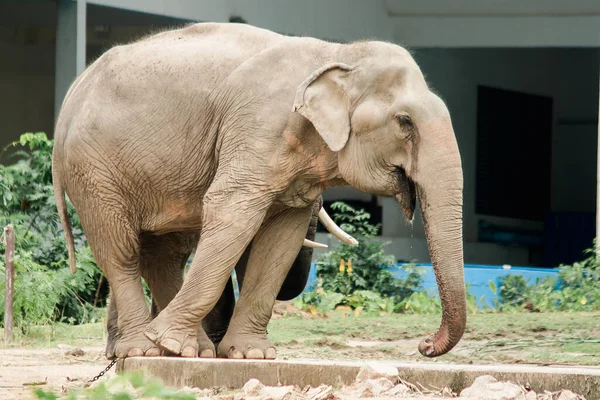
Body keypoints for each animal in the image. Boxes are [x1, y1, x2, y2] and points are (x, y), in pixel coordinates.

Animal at [51, 21, 464, 360]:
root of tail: (70, 95)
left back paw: (189, 350)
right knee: (120, 250)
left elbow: (281, 236)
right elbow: (231, 212)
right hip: (94, 170)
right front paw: (173, 343)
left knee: (163, 252)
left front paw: (252, 355)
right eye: (405, 122)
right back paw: (148, 350)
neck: (338, 53)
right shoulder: (259, 126)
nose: (425, 345)